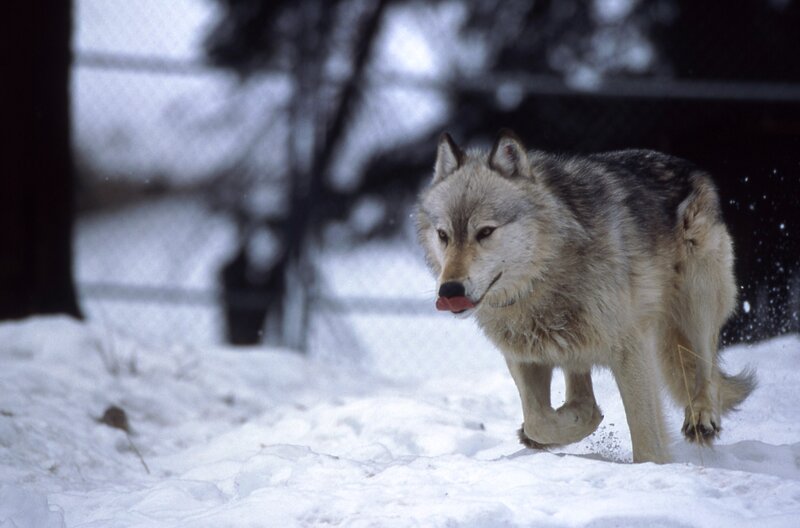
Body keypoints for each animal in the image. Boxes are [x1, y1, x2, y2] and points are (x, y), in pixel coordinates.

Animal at [416, 130, 756, 463]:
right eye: (444, 235)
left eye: (485, 232)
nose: (449, 290)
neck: (543, 278)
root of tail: (691, 168)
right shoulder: (524, 356)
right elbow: (540, 421)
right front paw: (565, 425)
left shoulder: (630, 349)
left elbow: (645, 437)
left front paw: (652, 467)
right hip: (576, 343)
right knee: (581, 393)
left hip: (697, 303)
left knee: (707, 368)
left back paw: (702, 418)